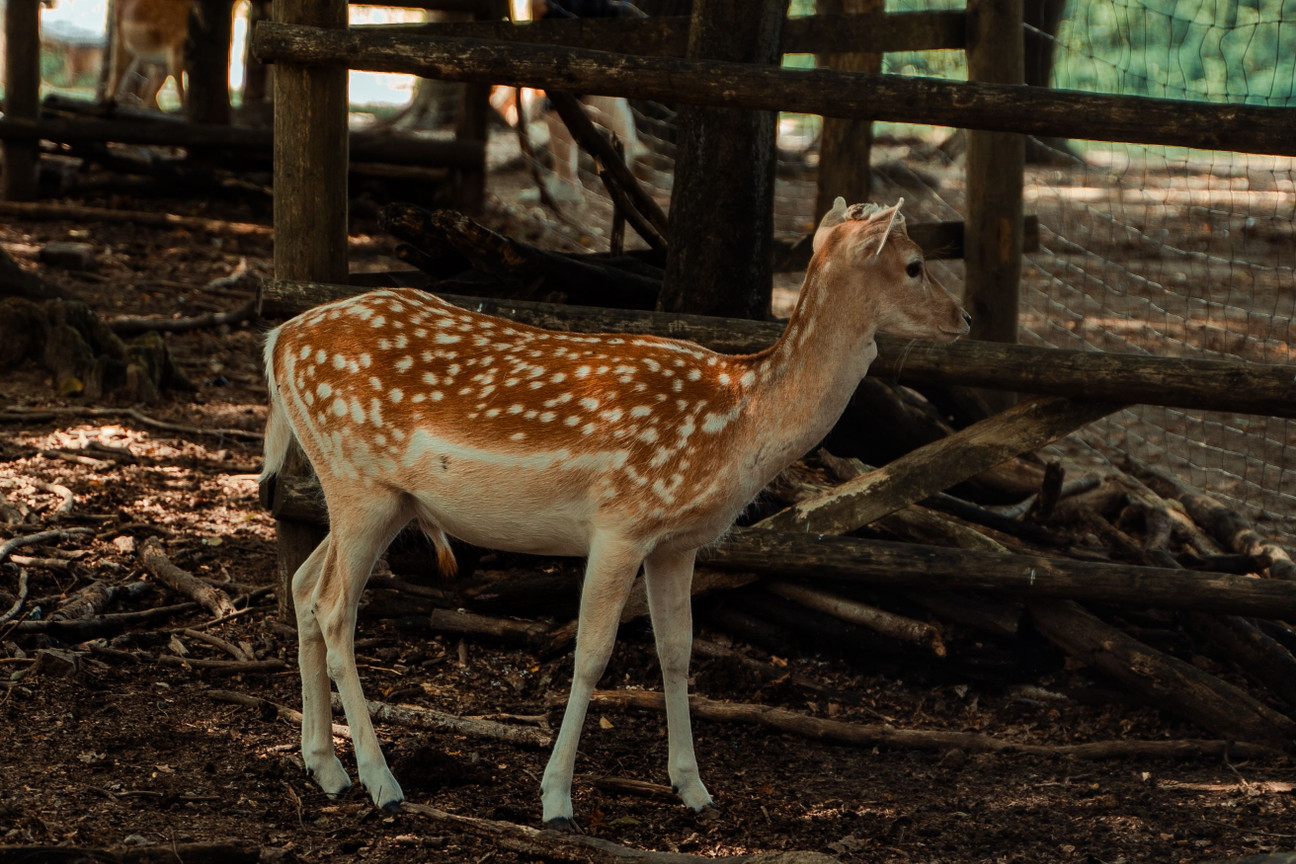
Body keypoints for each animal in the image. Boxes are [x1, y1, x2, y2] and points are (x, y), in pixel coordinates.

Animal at [260, 197, 970, 829]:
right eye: (914, 264)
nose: (963, 318)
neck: (740, 423)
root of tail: (277, 340)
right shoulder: (621, 523)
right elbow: (593, 653)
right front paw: (556, 801)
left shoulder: (678, 542)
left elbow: (677, 651)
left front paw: (694, 789)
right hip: (359, 482)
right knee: (334, 608)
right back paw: (382, 783)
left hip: (378, 497)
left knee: (302, 585)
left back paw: (324, 767)